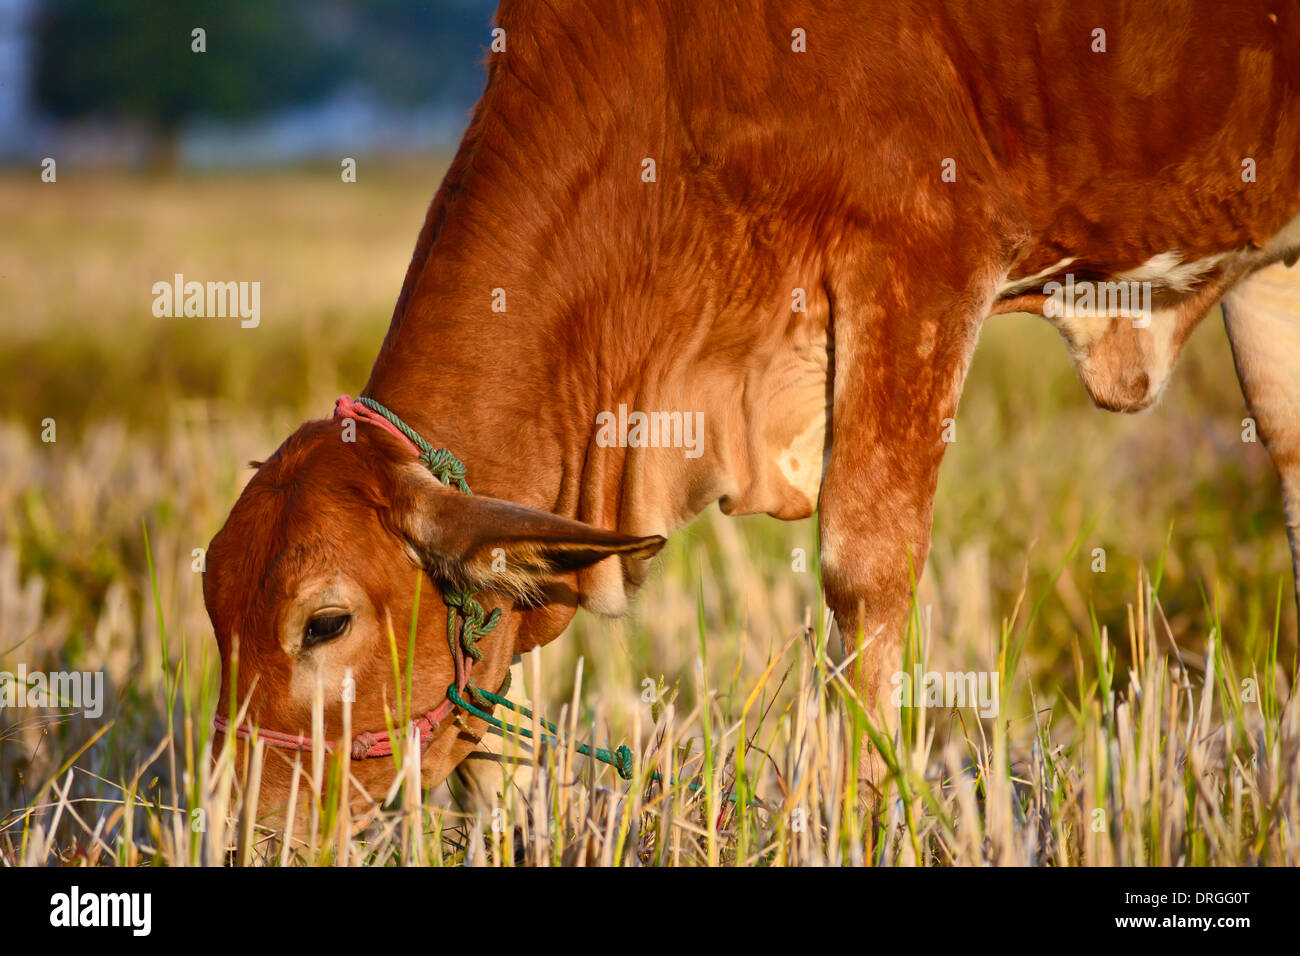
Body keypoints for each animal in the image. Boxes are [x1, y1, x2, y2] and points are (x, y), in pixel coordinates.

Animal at [203, 0, 1300, 820]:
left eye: (325, 622)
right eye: (211, 601)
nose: (239, 823)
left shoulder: (921, 260)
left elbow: (863, 571)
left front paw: (856, 819)